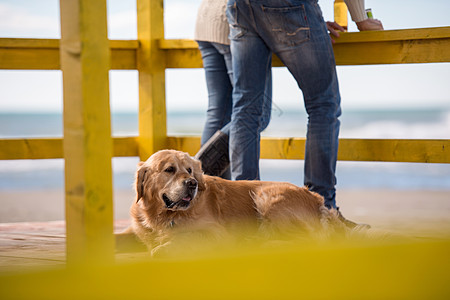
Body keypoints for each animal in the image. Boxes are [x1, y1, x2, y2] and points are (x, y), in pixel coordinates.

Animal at [125, 149, 354, 256]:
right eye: (169, 169)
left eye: (189, 170)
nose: (192, 183)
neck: (164, 216)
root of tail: (317, 199)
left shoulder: (217, 233)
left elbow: (187, 236)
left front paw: (164, 247)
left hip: (266, 196)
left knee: (309, 241)